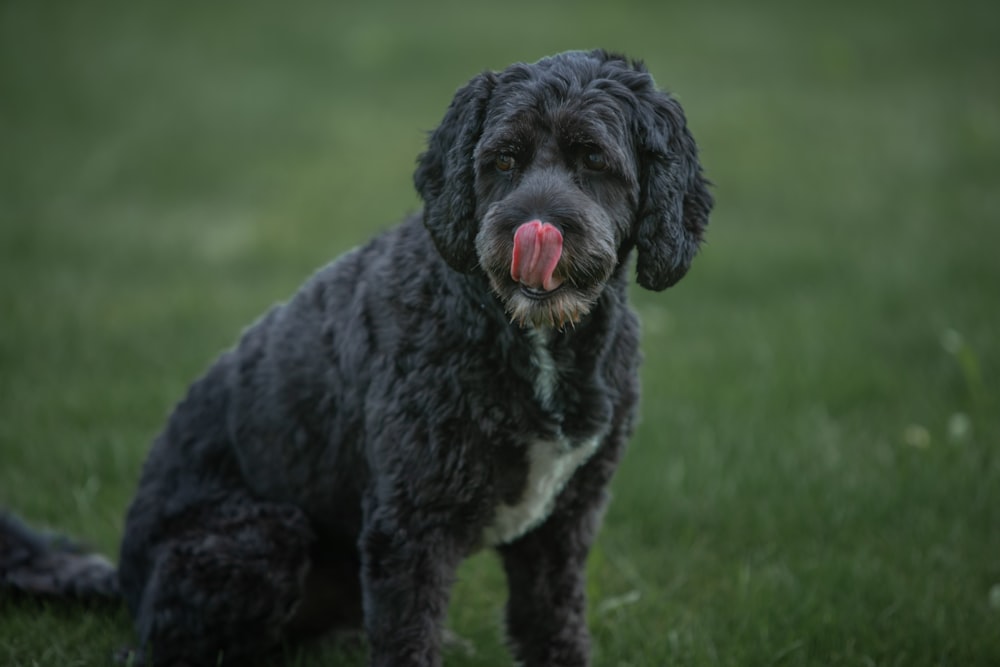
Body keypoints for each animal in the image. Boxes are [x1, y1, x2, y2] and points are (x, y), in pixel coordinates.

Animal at [3, 51, 716, 667]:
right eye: (503, 160)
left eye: (593, 158)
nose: (533, 226)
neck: (527, 335)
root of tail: (124, 581)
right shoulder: (409, 528)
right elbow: (405, 639)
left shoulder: (561, 529)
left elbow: (553, 629)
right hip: (257, 538)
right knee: (163, 647)